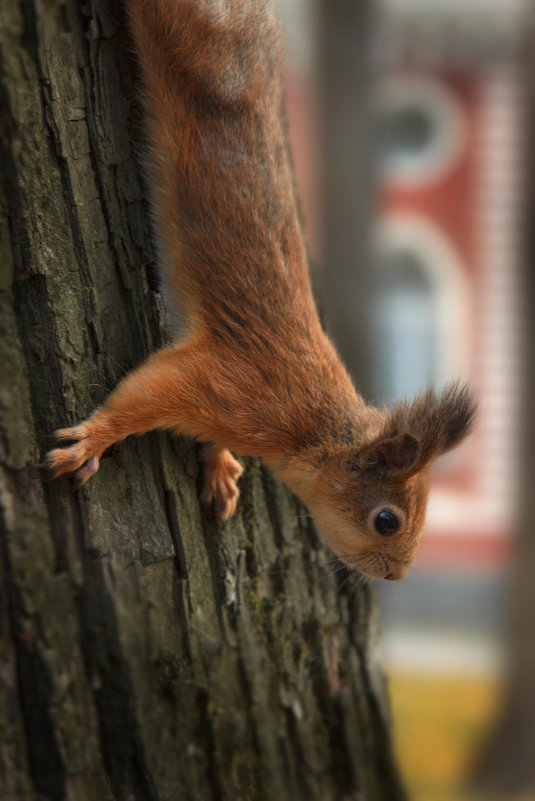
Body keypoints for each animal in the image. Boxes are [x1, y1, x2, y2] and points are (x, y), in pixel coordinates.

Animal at [44, 0, 476, 580]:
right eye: (387, 520)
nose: (396, 575)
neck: (316, 430)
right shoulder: (232, 388)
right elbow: (144, 393)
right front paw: (95, 438)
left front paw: (220, 466)